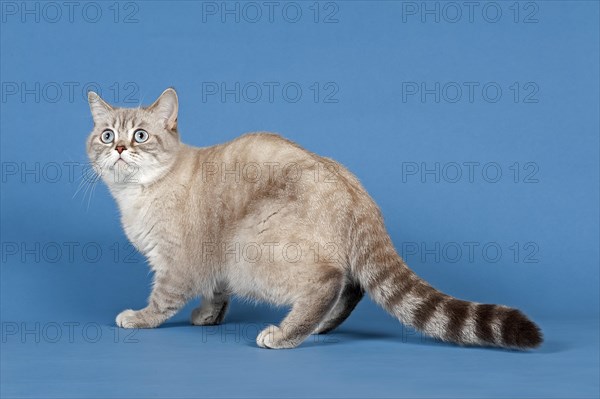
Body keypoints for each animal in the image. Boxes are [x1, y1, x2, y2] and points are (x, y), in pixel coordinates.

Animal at [86, 88, 540, 350]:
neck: (133, 195)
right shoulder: (210, 265)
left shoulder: (177, 262)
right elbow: (215, 292)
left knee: (330, 281)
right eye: (107, 136)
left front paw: (138, 320)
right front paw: (208, 318)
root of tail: (358, 193)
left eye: (140, 136)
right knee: (351, 285)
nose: (120, 149)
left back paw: (285, 335)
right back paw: (319, 328)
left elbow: (161, 301)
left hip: (249, 247)